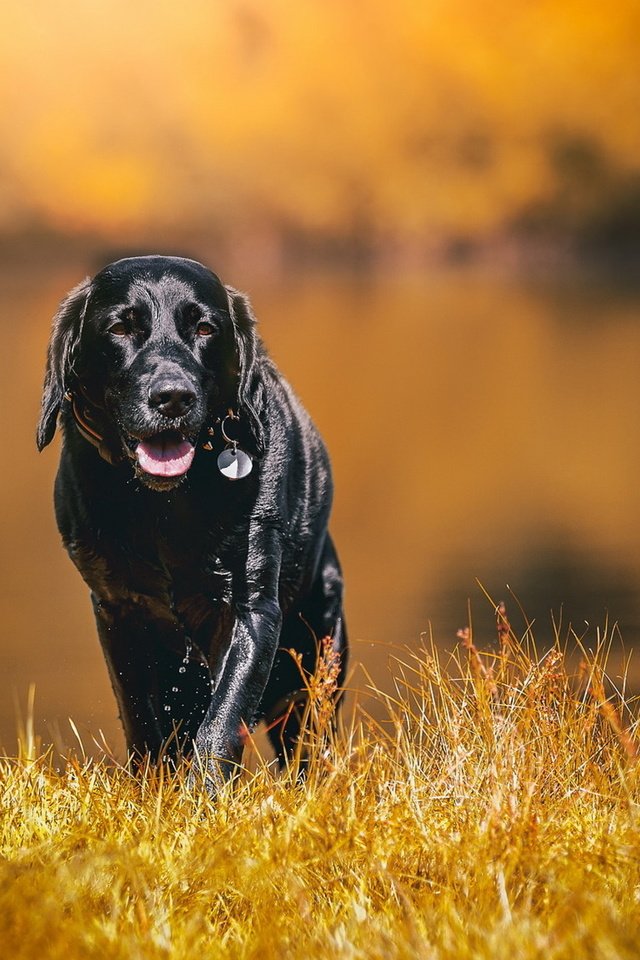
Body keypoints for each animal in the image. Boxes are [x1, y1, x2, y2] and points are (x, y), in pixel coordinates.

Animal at [37, 255, 348, 788]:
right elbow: (140, 714)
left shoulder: (252, 609)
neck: (163, 507)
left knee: (308, 738)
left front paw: (204, 793)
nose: (172, 397)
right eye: (120, 328)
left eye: (205, 328)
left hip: (317, 658)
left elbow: (223, 718)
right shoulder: (118, 610)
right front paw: (153, 789)